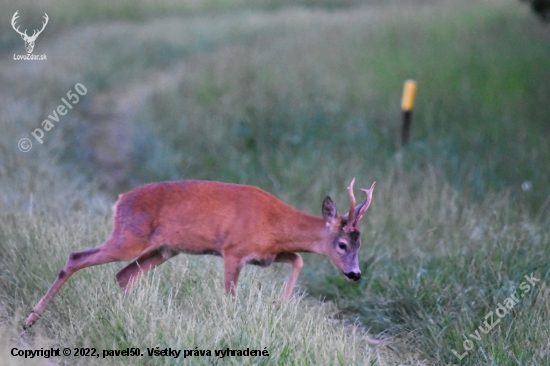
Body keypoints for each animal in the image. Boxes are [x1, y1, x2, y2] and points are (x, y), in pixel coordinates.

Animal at [28, 179, 378, 328]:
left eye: (360, 244)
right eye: (342, 244)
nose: (355, 274)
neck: (274, 222)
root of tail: (120, 200)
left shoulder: (266, 254)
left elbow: (299, 258)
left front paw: (279, 305)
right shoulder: (233, 251)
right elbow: (230, 297)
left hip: (162, 249)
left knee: (123, 275)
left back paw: (128, 317)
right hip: (127, 238)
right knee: (76, 258)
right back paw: (31, 319)